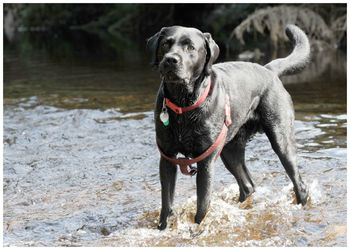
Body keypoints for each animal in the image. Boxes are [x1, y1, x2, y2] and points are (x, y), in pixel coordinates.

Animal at [147, 24, 308, 229]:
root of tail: (268, 70)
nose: (170, 59)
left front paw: (197, 229)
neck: (183, 105)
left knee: (299, 184)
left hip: (281, 140)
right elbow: (166, 203)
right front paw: (163, 229)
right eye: (165, 44)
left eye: (190, 47)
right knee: (248, 185)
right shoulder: (167, 157)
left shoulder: (205, 161)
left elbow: (203, 204)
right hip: (229, 150)